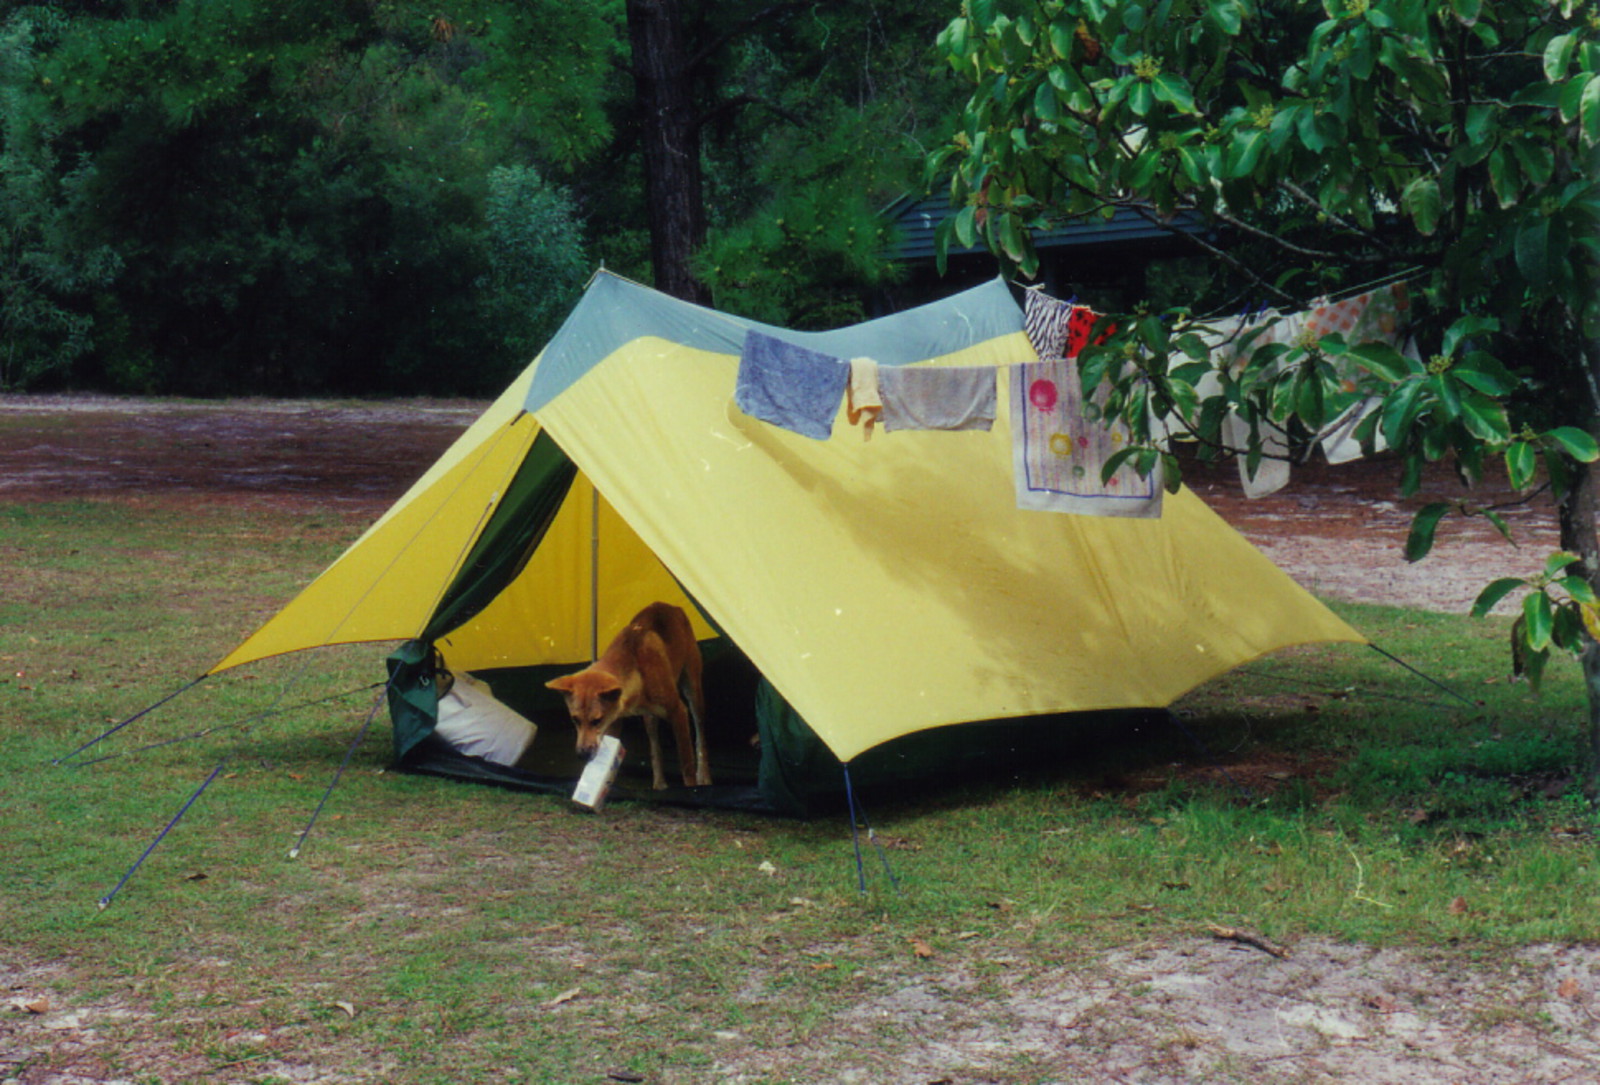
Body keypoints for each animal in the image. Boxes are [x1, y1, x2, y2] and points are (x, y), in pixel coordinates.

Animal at [544, 604, 707, 790]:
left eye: (596, 720)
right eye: (575, 720)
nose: (582, 754)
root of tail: (671, 606)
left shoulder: (678, 711)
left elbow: (687, 766)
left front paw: (692, 788)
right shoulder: (614, 723)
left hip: (693, 692)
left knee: (701, 739)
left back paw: (704, 777)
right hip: (650, 719)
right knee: (655, 748)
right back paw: (659, 784)